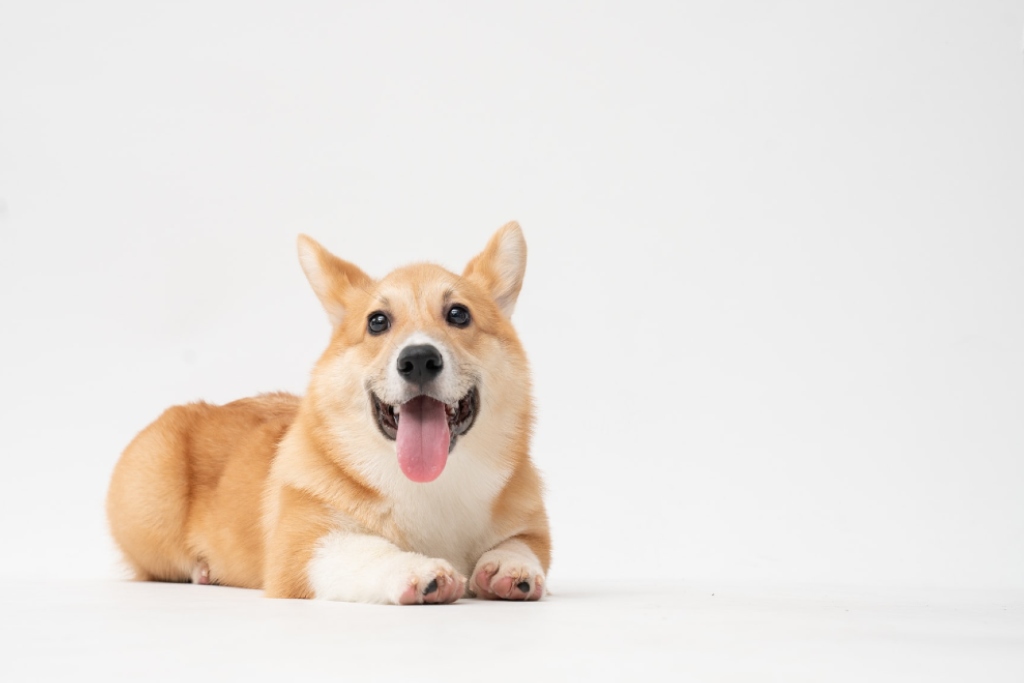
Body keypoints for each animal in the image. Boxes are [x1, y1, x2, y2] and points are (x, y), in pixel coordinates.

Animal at [107, 223, 548, 602]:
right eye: (377, 322)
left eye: (459, 314)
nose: (419, 359)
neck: (431, 486)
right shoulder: (305, 549)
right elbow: (368, 550)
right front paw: (417, 570)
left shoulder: (532, 527)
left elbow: (521, 546)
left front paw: (509, 568)